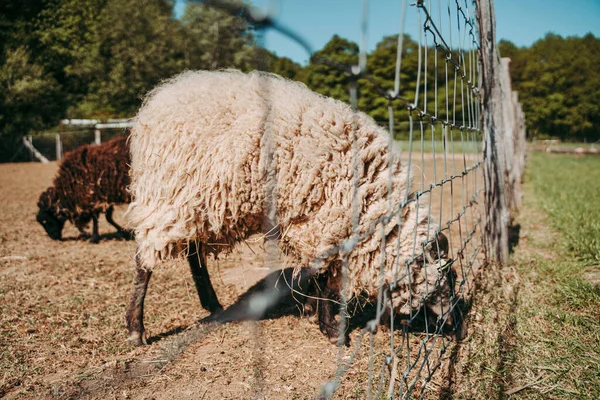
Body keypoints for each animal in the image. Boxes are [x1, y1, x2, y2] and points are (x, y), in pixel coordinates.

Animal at [124, 70, 458, 346]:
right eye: (447, 282)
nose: (457, 328)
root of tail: (160, 98)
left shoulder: (315, 227)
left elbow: (316, 275)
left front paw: (311, 309)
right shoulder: (325, 223)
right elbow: (326, 282)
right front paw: (331, 329)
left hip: (197, 205)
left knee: (194, 254)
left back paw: (212, 304)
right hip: (168, 194)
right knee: (144, 260)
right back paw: (136, 329)